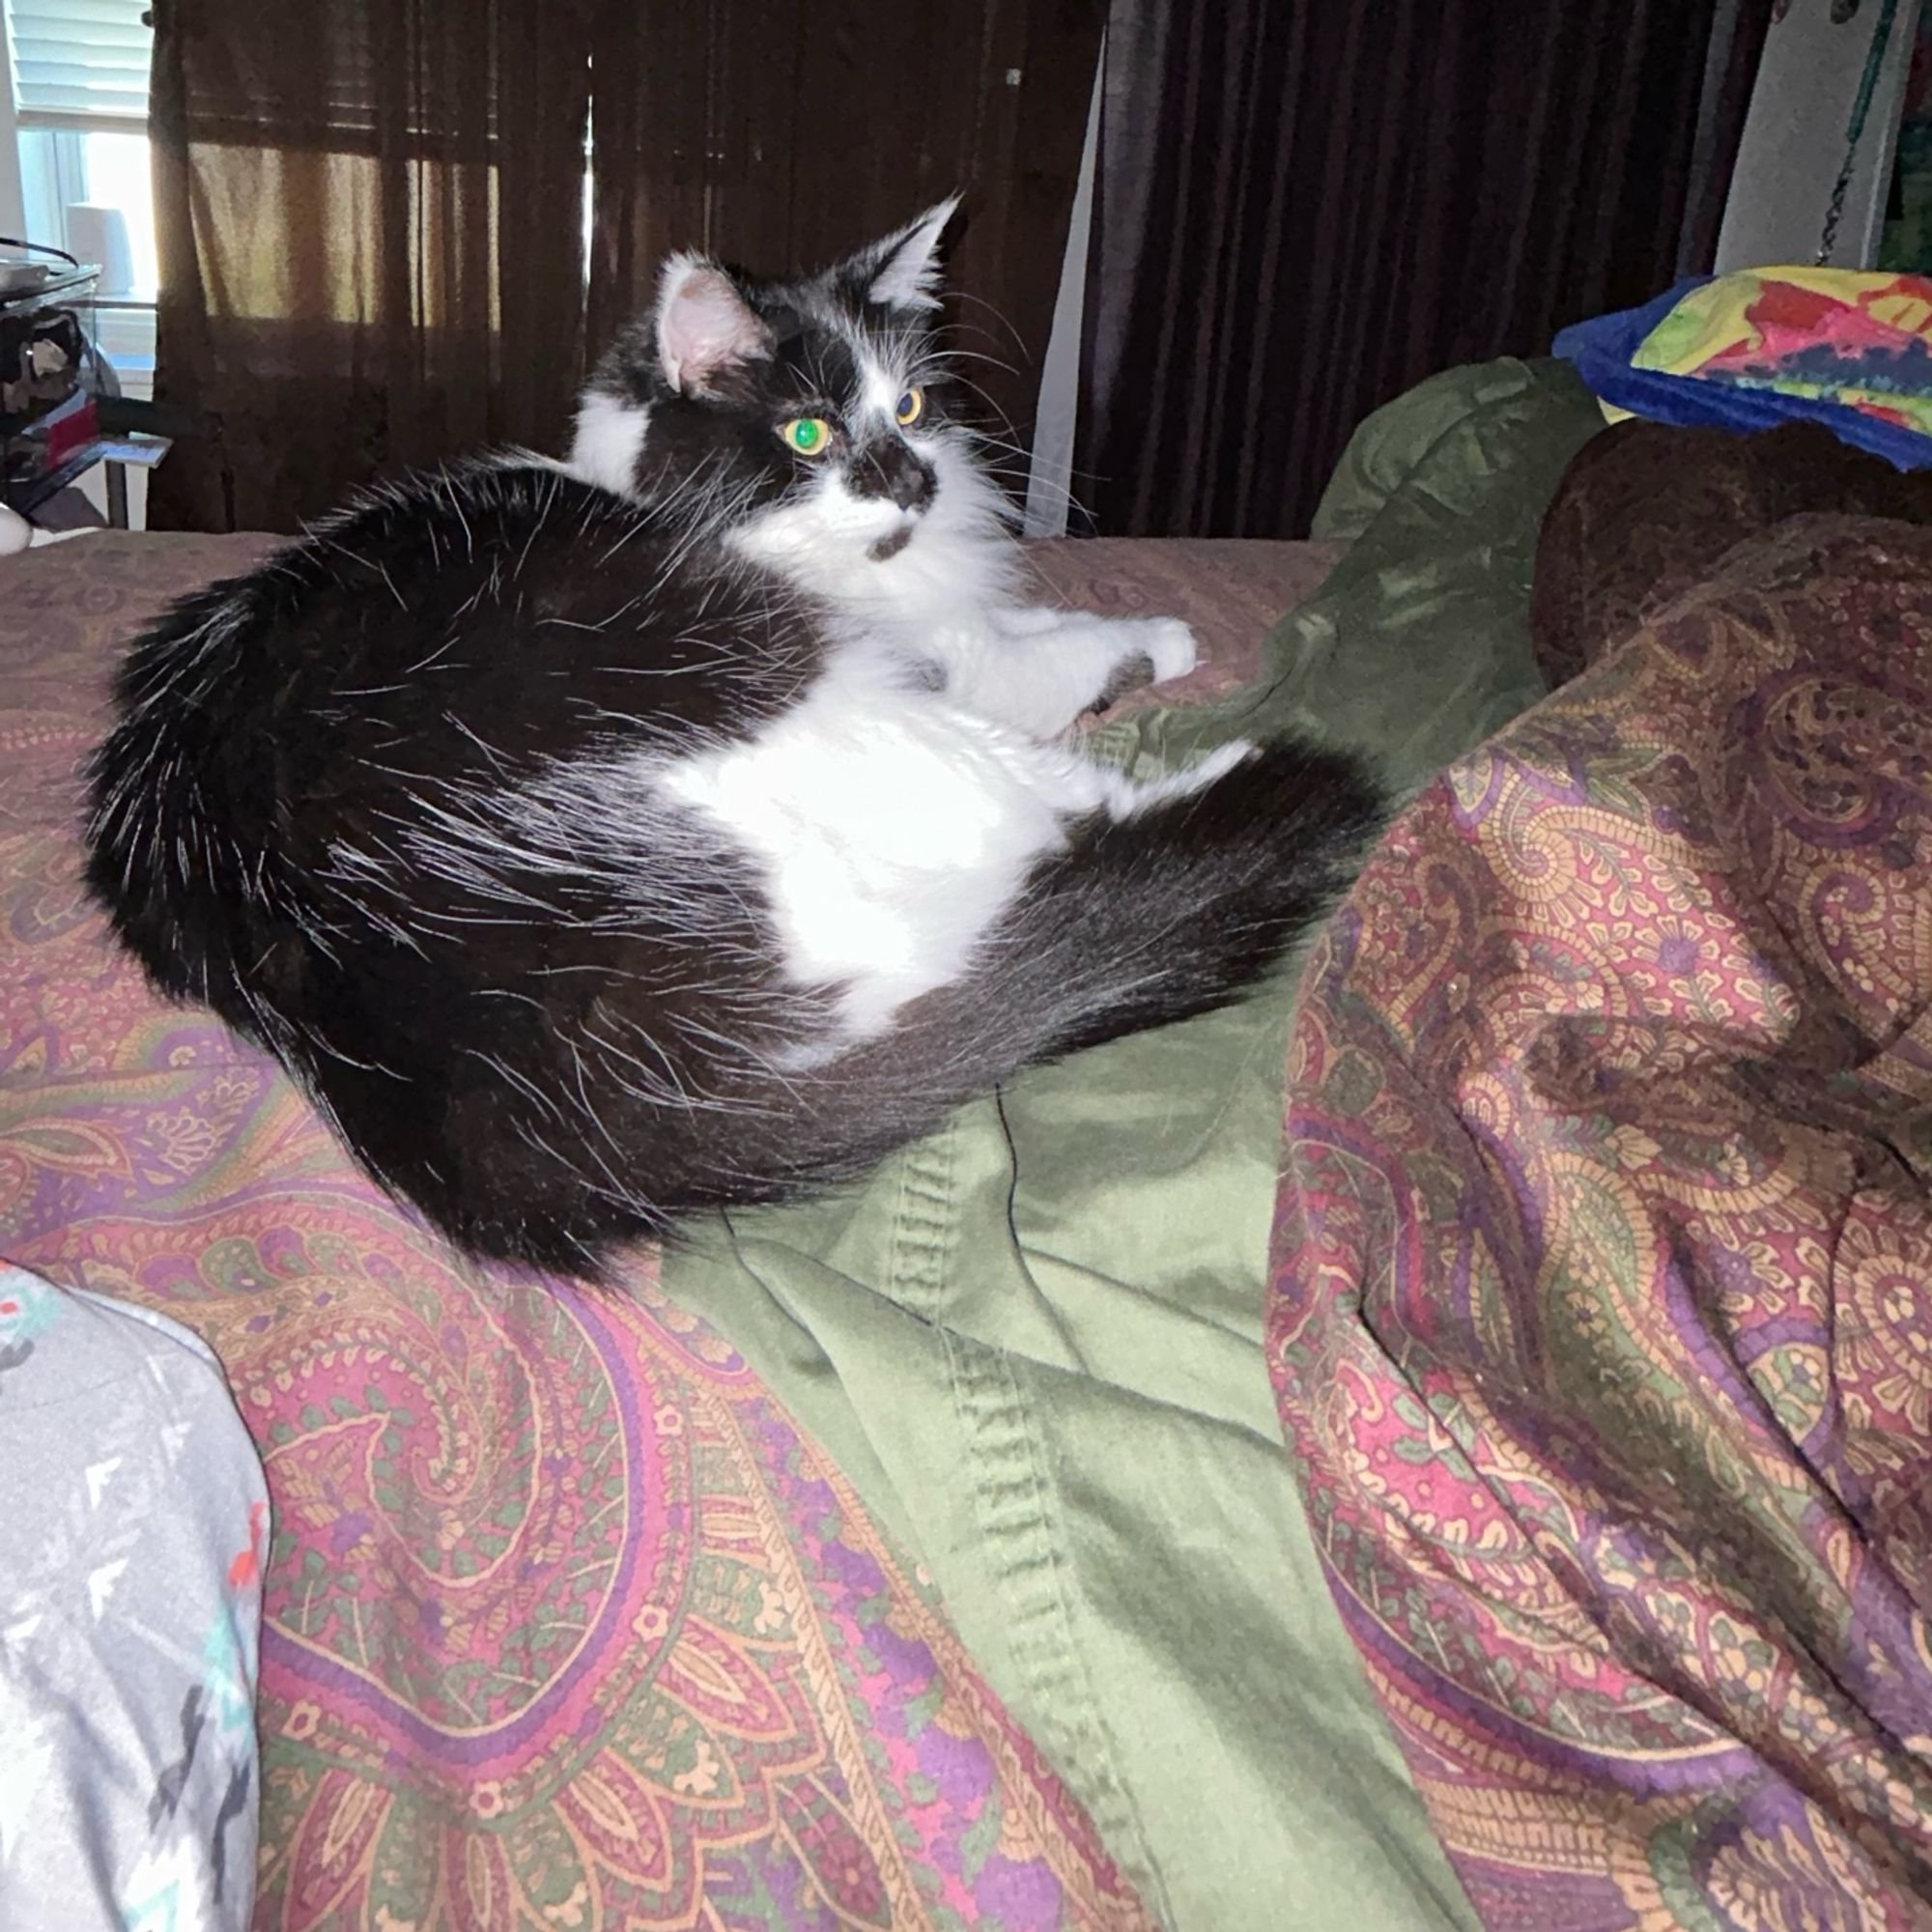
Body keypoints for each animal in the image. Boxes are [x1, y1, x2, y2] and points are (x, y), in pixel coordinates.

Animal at [83, 204, 1383, 1275]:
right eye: (807, 433)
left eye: (910, 406)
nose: (911, 482)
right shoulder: (926, 660)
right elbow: (1044, 656)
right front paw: (1162, 638)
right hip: (803, 696)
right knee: (1062, 814)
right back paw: (1219, 766)